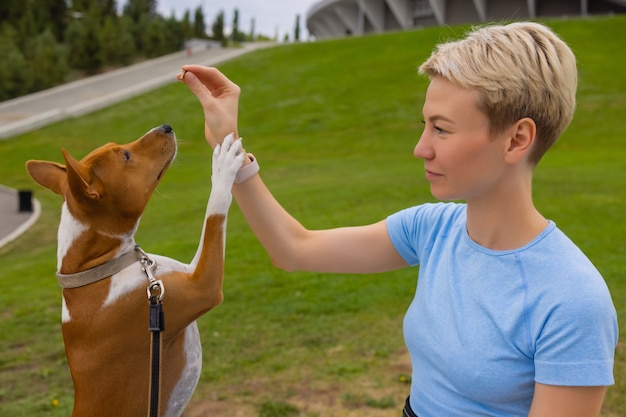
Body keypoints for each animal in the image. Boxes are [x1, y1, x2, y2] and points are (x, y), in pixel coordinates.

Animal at [25, 125, 244, 414]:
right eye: (126, 157)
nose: (166, 126)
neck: (100, 269)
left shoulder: (186, 272)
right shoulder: (203, 286)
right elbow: (214, 210)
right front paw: (223, 164)